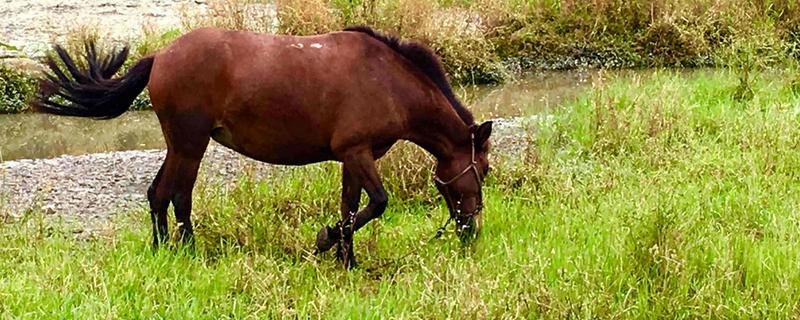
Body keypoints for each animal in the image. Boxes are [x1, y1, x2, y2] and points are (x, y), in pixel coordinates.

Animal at [31, 26, 490, 268]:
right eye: (483, 171)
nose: (471, 231)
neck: (387, 81)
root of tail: (161, 55)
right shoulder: (358, 153)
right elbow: (376, 204)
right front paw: (326, 241)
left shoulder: (352, 157)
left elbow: (350, 208)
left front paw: (346, 259)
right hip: (190, 145)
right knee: (177, 195)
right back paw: (188, 251)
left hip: (178, 145)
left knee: (157, 194)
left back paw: (162, 249)